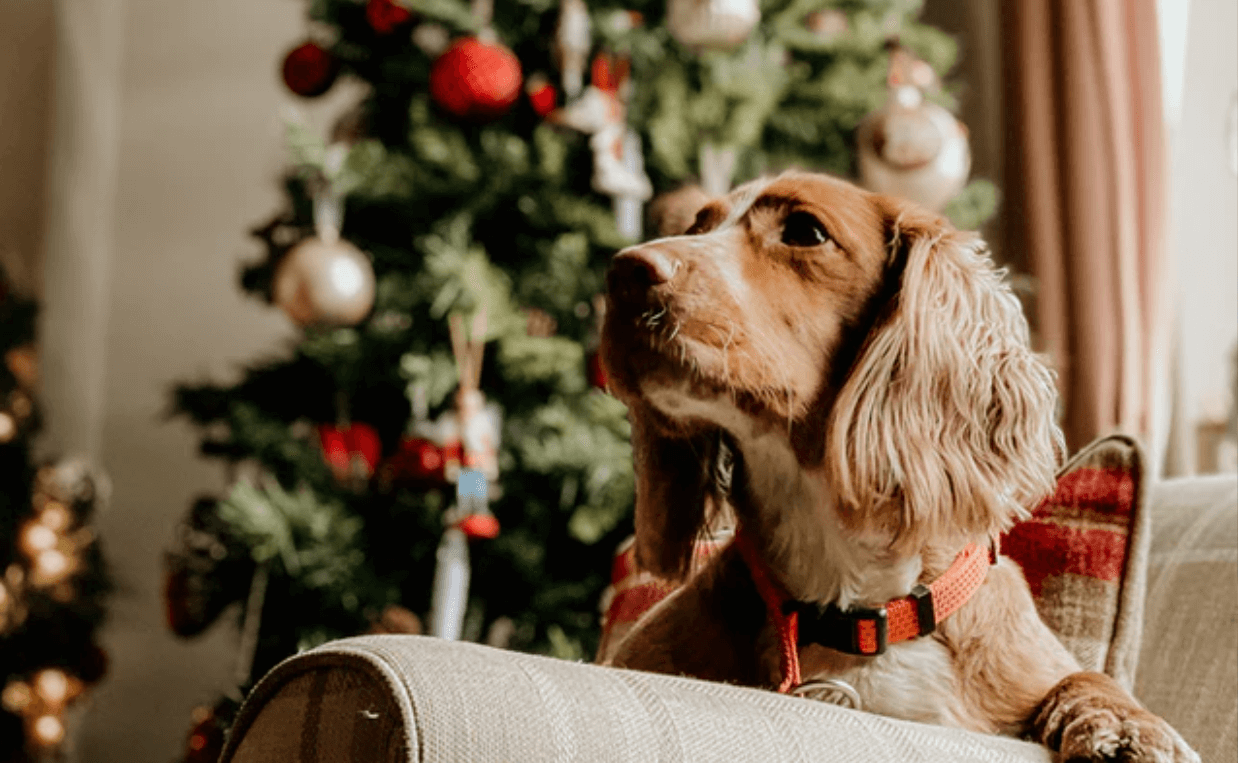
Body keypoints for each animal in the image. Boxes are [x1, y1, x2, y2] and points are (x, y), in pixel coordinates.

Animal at [599, 173, 1198, 763]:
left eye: (805, 231)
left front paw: (1126, 724)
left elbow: (1086, 678)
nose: (624, 271)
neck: (854, 607)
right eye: (697, 227)